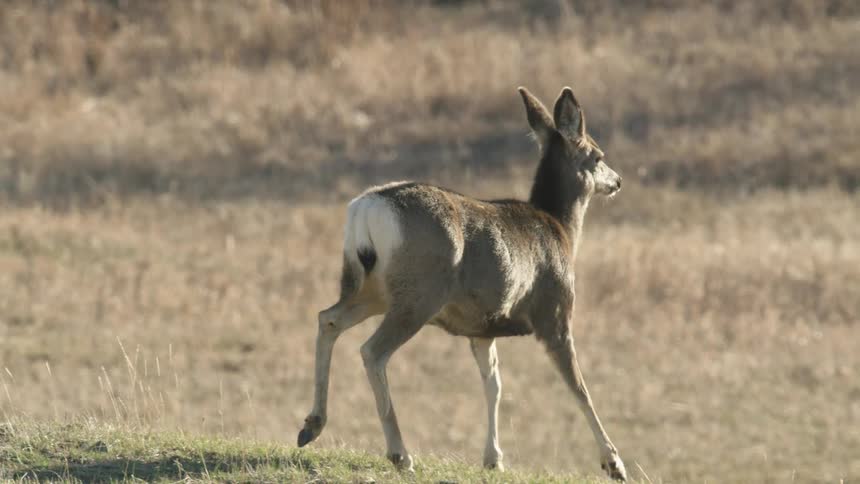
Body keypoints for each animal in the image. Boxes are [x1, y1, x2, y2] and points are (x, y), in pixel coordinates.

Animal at [297, 86, 628, 481]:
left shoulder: (482, 327)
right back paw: (400, 454)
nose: (618, 181)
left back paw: (311, 425)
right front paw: (614, 463)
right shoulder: (555, 312)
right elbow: (579, 387)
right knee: (372, 350)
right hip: (419, 293)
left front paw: (493, 458)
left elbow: (494, 384)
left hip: (368, 286)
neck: (559, 228)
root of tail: (366, 209)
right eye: (598, 155)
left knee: (328, 318)